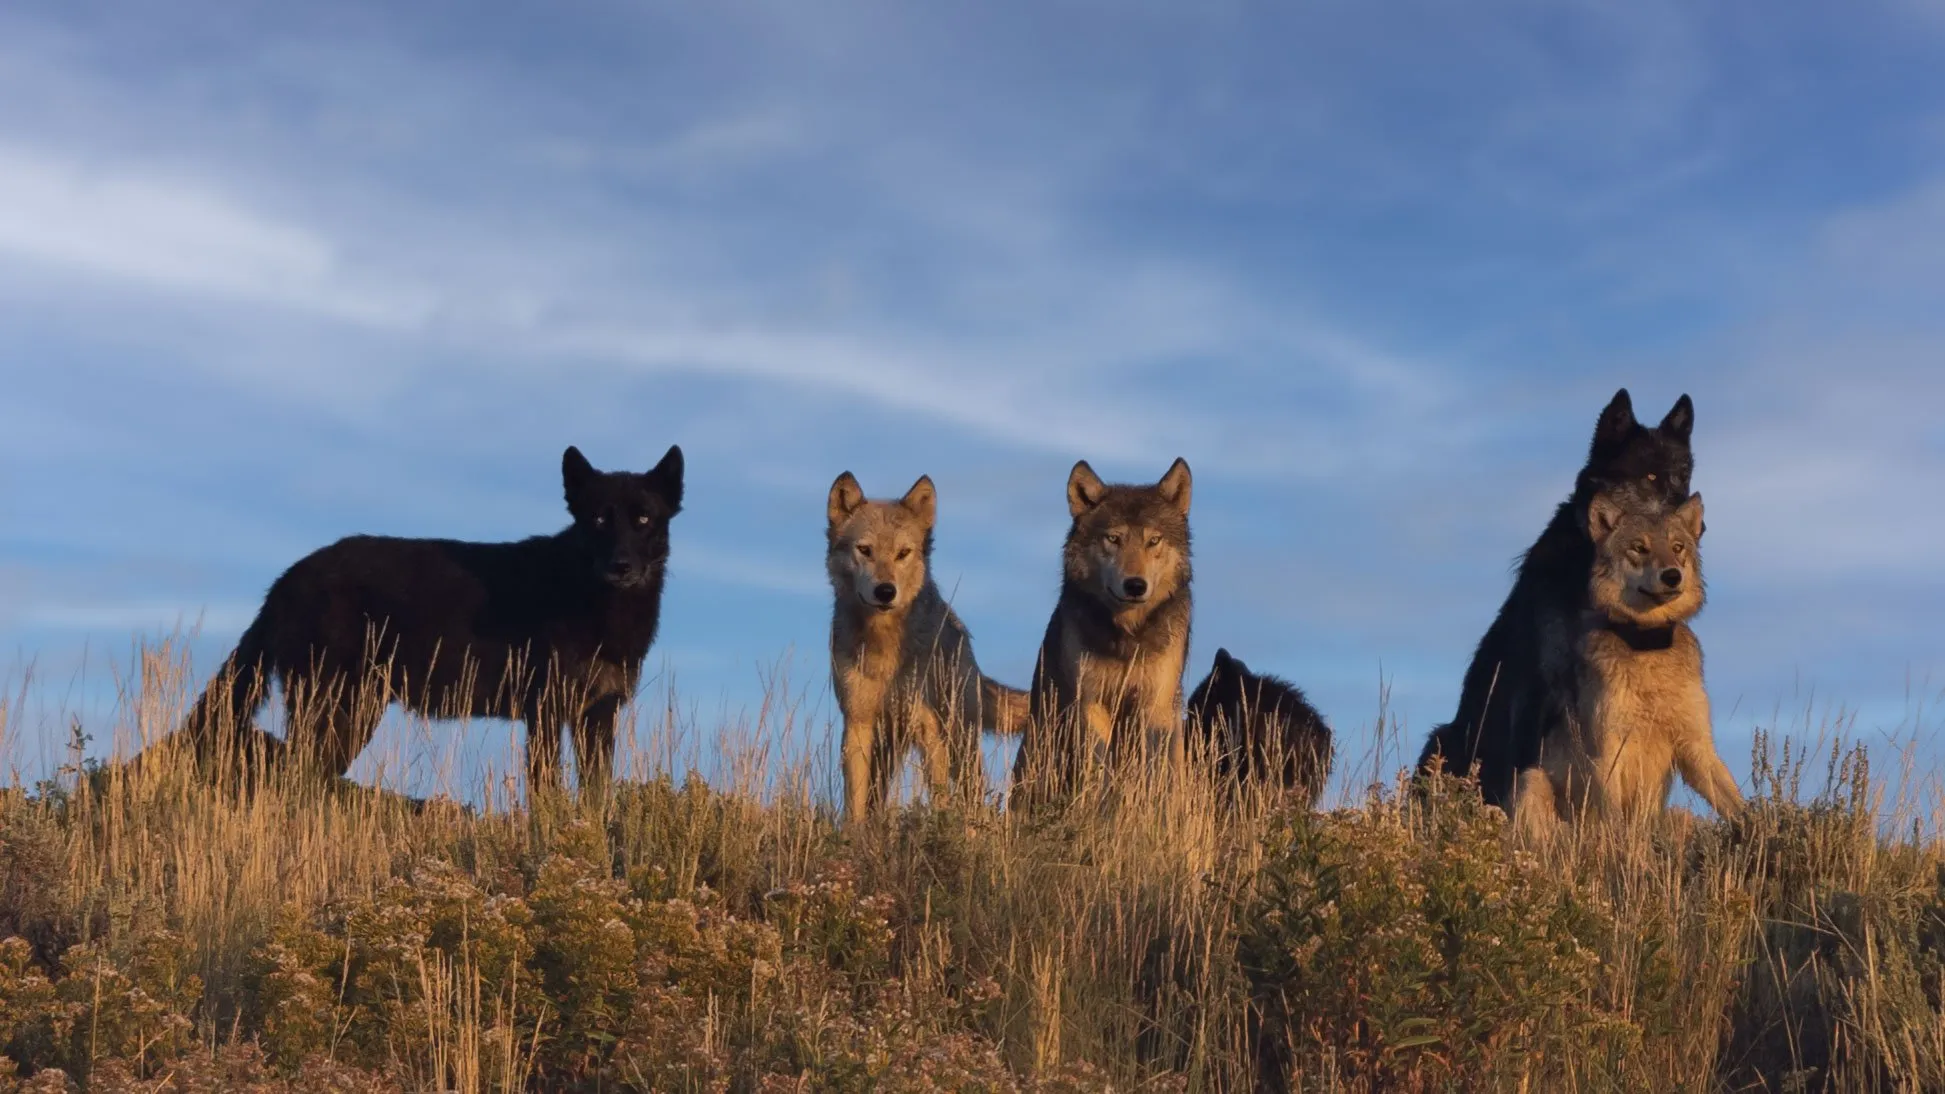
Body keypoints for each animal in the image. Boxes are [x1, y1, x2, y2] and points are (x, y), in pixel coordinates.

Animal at [181, 445, 683, 792]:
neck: (596, 605)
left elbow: (597, 797)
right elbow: (548, 793)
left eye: (643, 518)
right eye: (598, 519)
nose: (621, 566)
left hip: (353, 714)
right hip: (337, 708)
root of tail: (287, 578)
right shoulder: (544, 711)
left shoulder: (597, 716)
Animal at [826, 472, 1030, 821]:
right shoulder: (857, 724)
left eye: (903, 553)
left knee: (972, 791)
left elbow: (941, 799)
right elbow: (856, 803)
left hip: (958, 740)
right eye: (864, 550)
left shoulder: (929, 730)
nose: (885, 591)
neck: (883, 648)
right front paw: (853, 833)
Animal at [1010, 458, 1194, 805]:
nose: (1135, 585)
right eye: (1113, 539)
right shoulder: (1091, 703)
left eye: (1153, 540)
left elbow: (1153, 773)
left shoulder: (1155, 706)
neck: (1127, 636)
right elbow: (1099, 770)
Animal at [1511, 486, 1742, 835]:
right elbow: (1614, 823)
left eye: (1677, 548)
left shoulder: (1697, 748)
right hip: (1531, 779)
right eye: (1639, 548)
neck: (1648, 645)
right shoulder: (1608, 752)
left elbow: (1742, 807)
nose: (1672, 576)